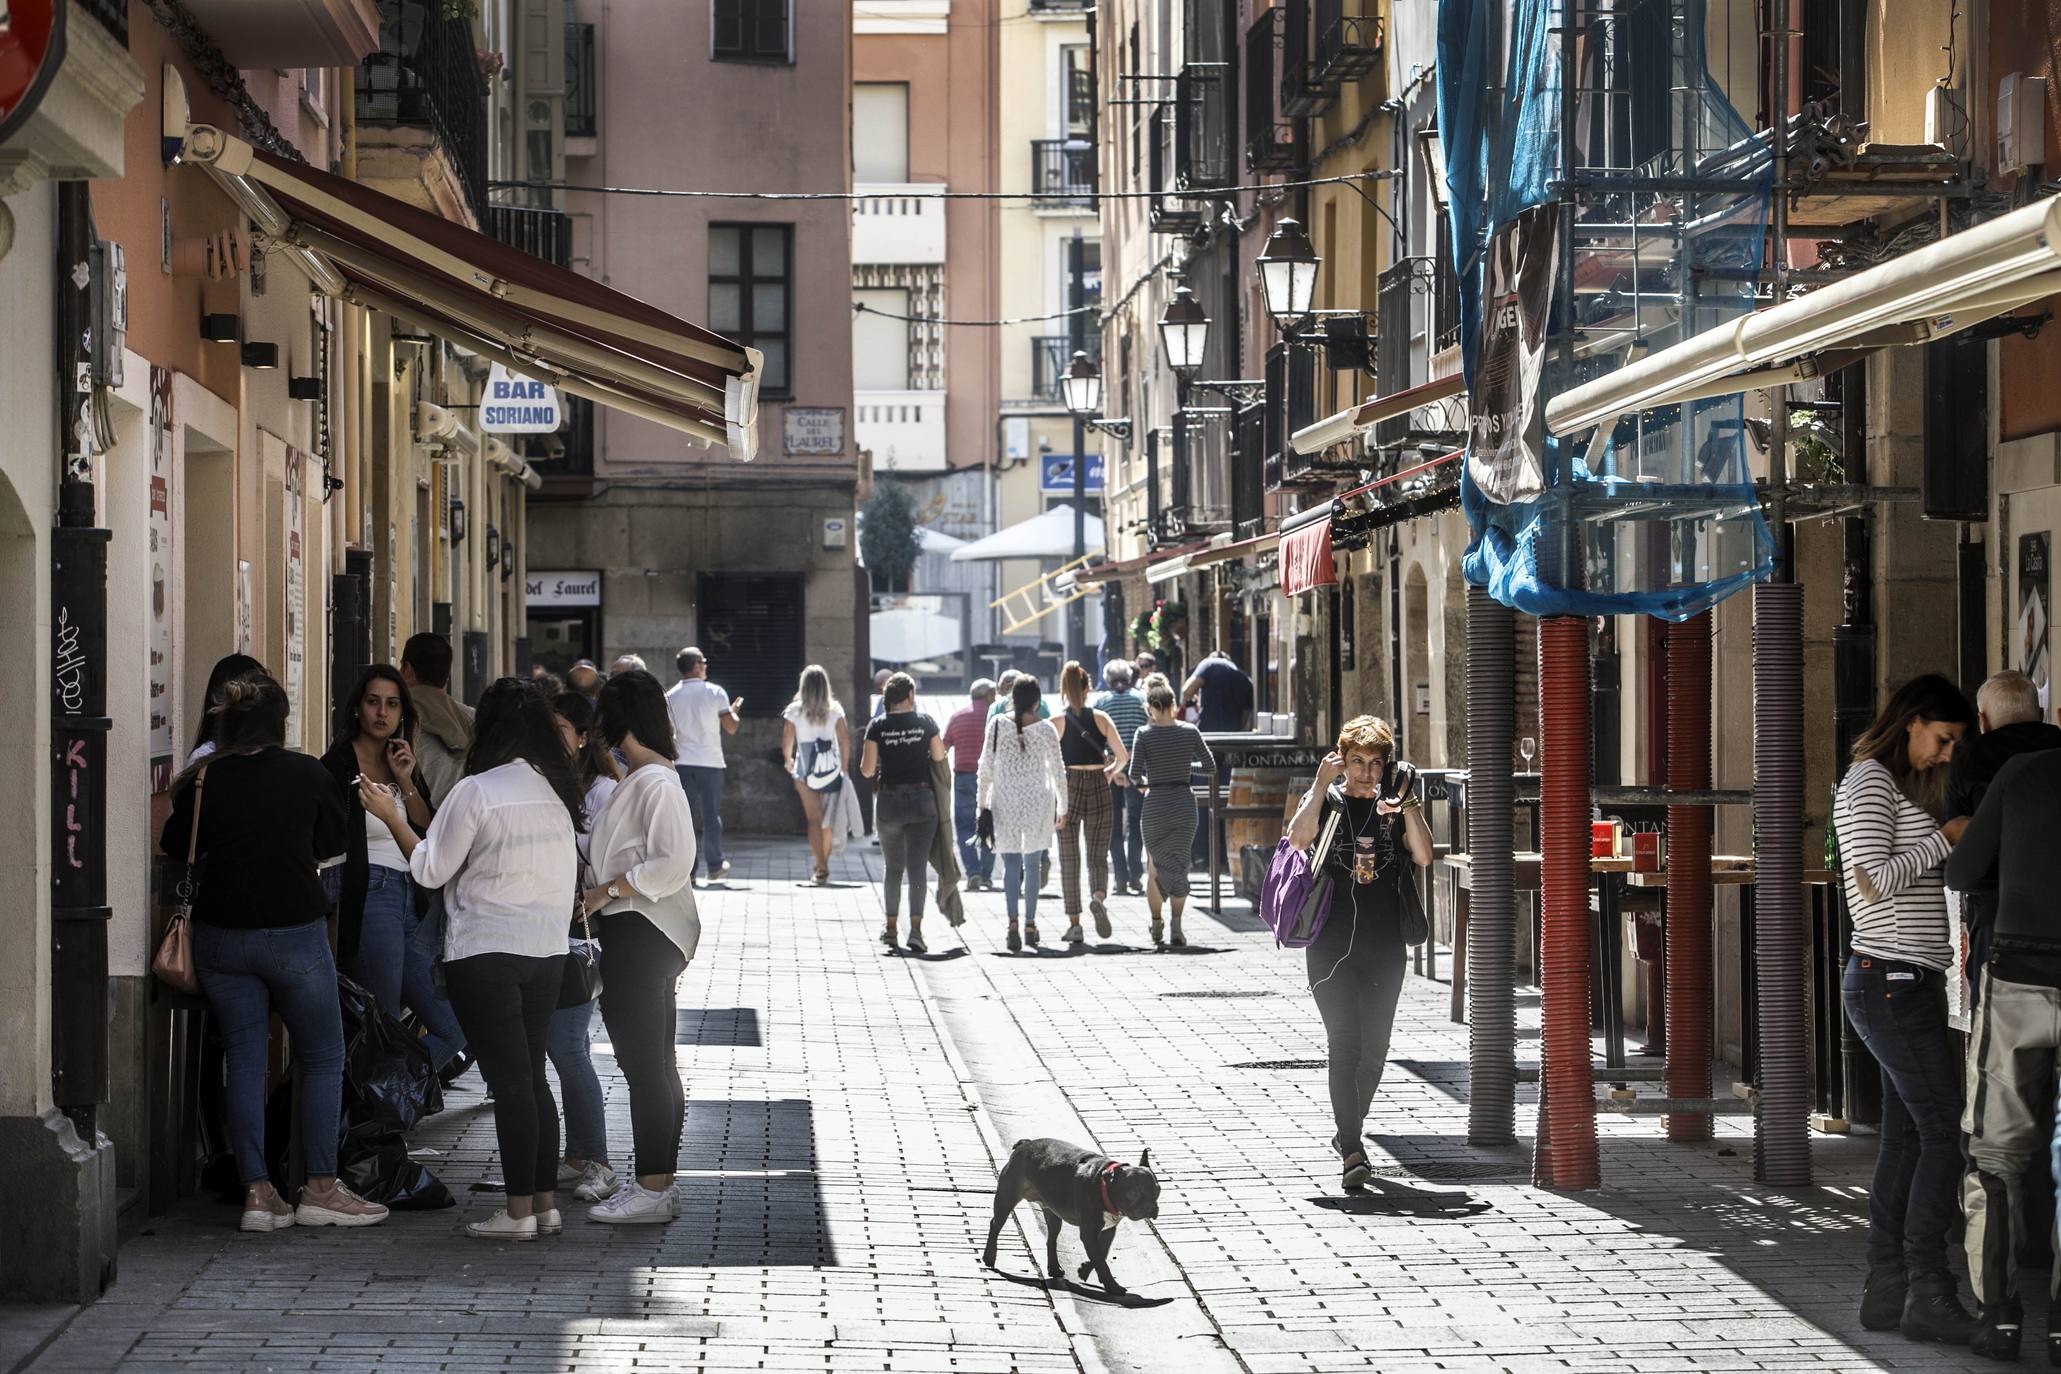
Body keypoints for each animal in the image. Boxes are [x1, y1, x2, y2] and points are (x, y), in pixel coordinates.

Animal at [981, 1137, 1162, 1293]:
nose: (1151, 1207)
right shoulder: (1089, 1233)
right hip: (1006, 1199)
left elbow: (1102, 1253)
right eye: (1133, 1193)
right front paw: (1113, 1287)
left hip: (1053, 1214)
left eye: (1158, 1190)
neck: (1103, 1185)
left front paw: (1085, 1270)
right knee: (995, 1225)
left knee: (1051, 1239)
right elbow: (1100, 1260)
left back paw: (1054, 1268)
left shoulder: (1108, 1230)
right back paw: (989, 1256)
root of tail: (1025, 1143)